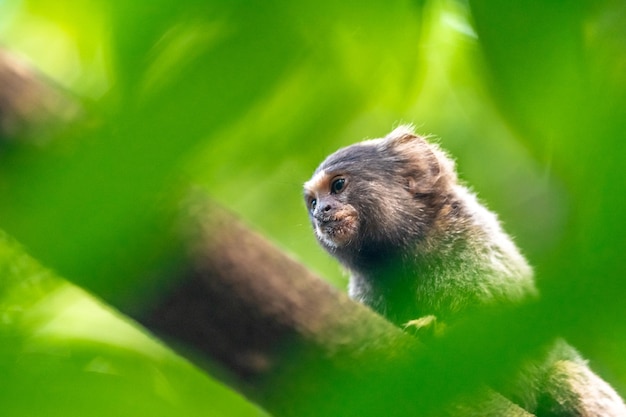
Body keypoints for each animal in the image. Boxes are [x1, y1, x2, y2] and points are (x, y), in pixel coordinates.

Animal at [304, 126, 624, 416]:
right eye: (313, 202)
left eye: (338, 186)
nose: (321, 212)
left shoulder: (481, 253)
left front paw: (434, 334)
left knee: (564, 376)